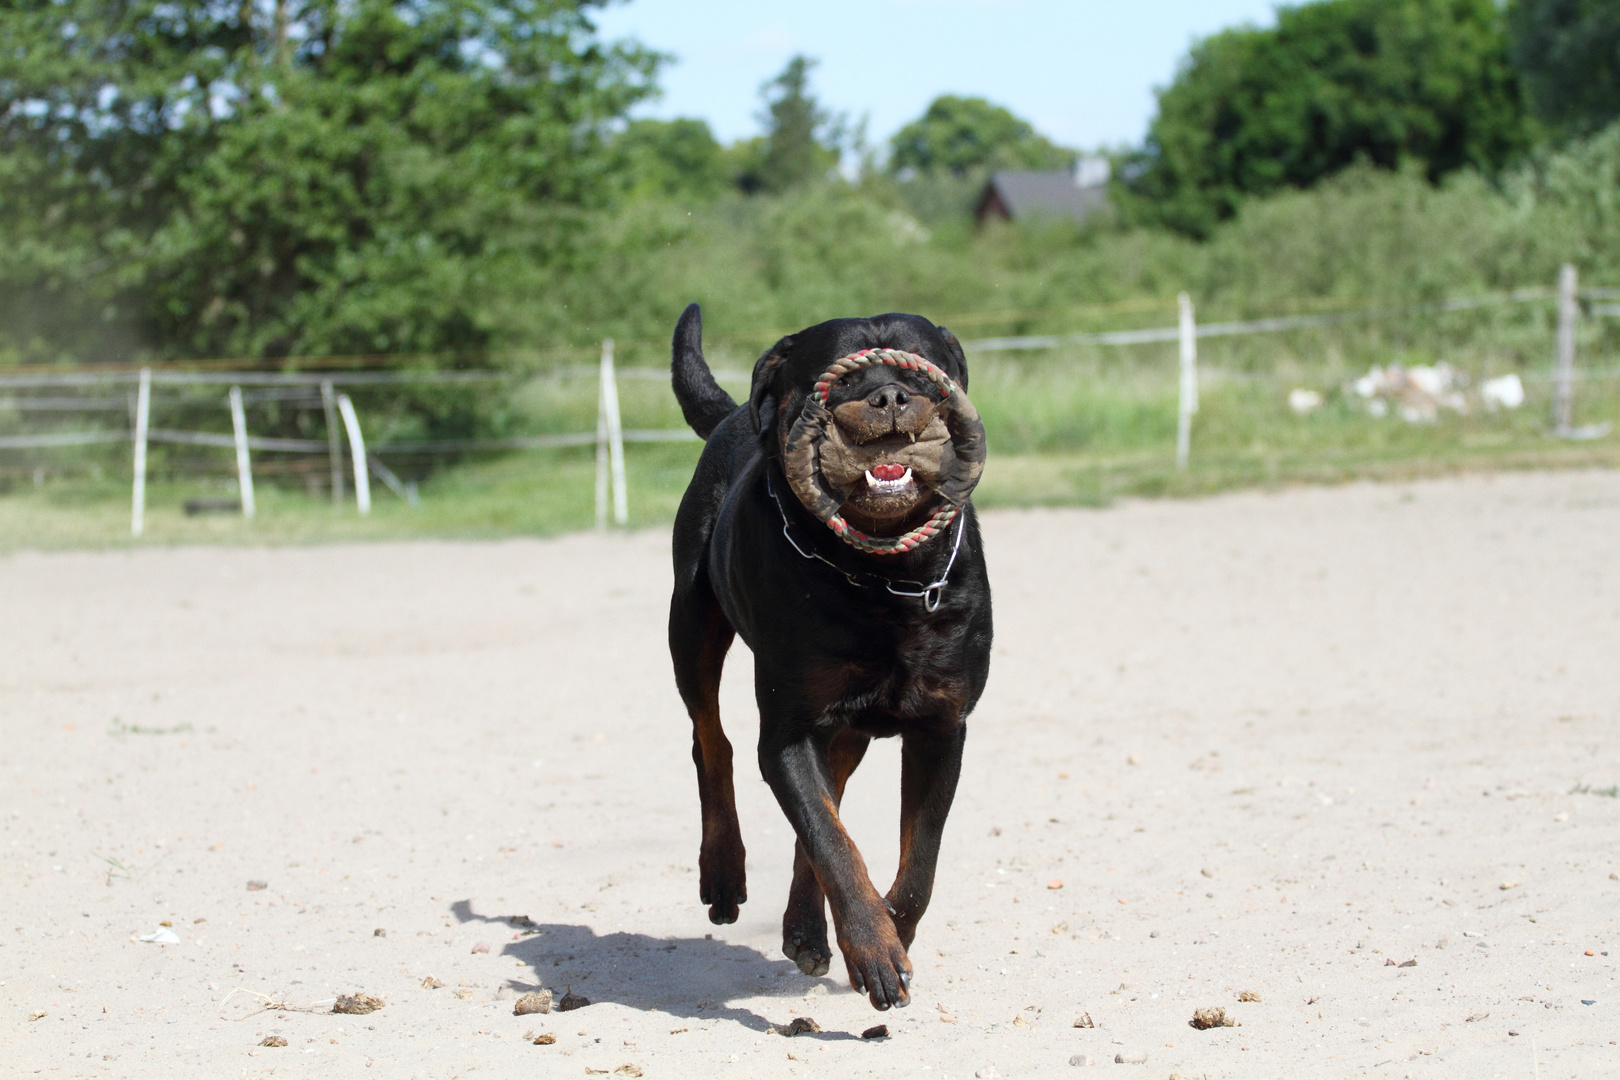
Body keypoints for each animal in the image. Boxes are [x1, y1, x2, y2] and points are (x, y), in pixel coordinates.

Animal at [664, 304, 991, 1016]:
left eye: (920, 370)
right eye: (836, 379)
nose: (889, 396)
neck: (882, 579)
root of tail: (734, 416)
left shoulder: (942, 724)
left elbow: (916, 855)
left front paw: (892, 927)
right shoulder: (789, 730)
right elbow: (832, 842)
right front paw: (873, 945)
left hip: (848, 730)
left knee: (822, 804)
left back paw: (805, 930)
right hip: (691, 622)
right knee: (712, 739)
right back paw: (724, 873)